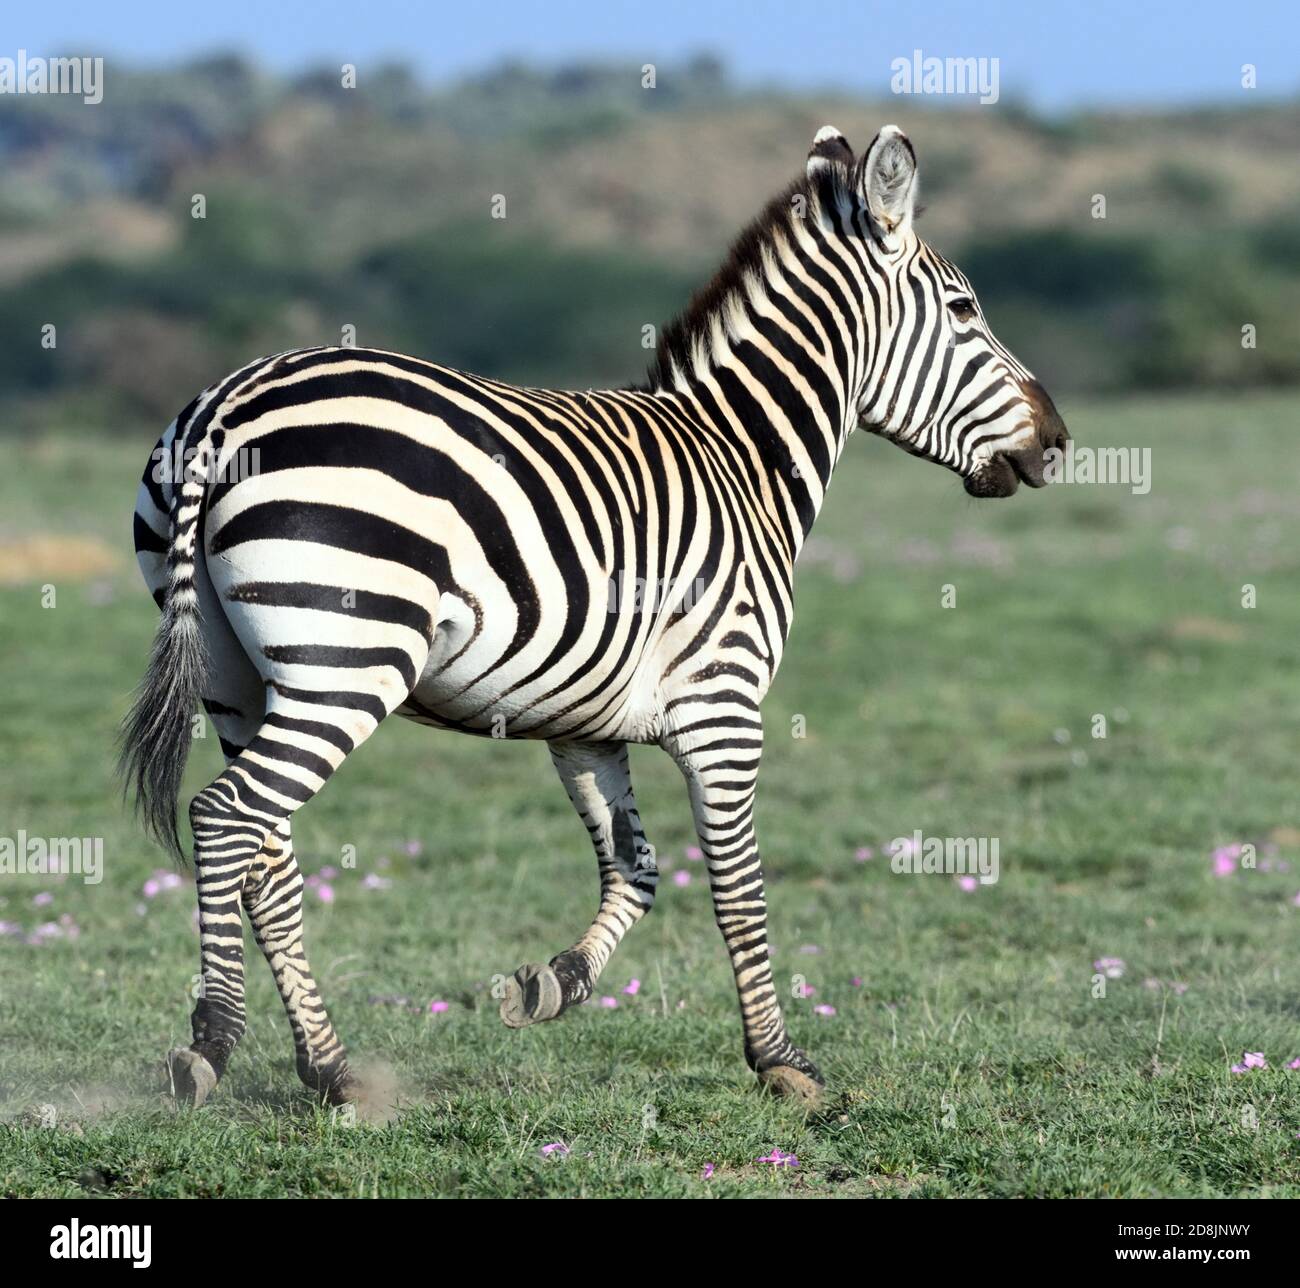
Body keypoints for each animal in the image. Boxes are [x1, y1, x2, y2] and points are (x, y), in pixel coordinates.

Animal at [124, 123, 1068, 1108]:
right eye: (965, 309)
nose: (1060, 441)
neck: (745, 456)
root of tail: (222, 411)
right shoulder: (724, 703)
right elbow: (738, 885)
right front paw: (780, 1060)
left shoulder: (581, 722)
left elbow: (637, 867)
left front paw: (552, 984)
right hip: (344, 661)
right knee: (227, 818)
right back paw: (211, 1043)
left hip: (235, 676)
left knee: (266, 853)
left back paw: (333, 1068)